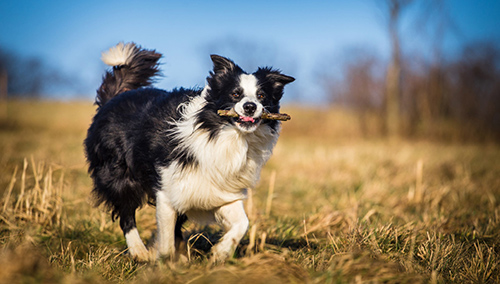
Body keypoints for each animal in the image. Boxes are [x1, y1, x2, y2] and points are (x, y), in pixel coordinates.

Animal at [84, 42, 294, 262]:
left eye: (261, 95)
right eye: (235, 94)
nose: (250, 106)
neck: (226, 135)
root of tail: (115, 97)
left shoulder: (220, 190)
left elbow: (242, 224)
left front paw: (220, 252)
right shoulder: (167, 190)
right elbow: (166, 240)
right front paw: (165, 261)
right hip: (120, 177)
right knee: (126, 214)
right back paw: (139, 252)